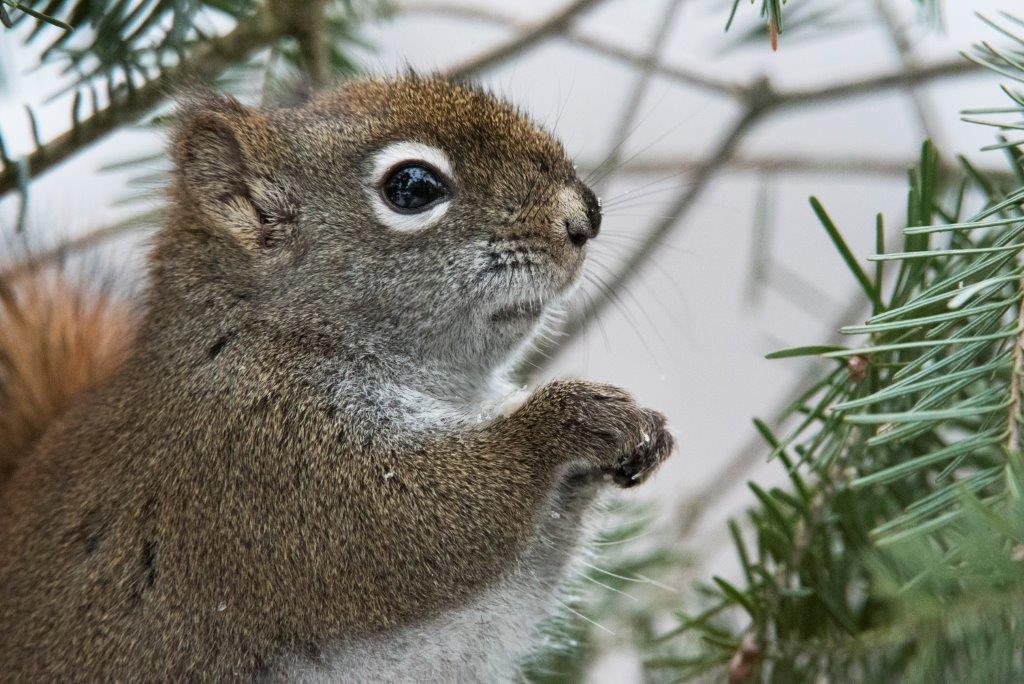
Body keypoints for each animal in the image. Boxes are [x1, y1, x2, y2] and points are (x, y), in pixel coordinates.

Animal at [0, 74, 676, 680]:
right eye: (412, 187)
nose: (586, 216)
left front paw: (636, 435)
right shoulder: (264, 461)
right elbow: (430, 521)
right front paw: (568, 422)